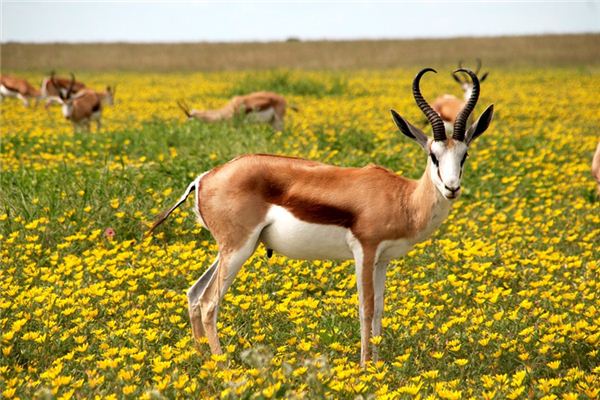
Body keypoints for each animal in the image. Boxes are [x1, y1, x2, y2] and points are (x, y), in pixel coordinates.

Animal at [150, 68, 492, 366]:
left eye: (464, 155)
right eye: (433, 155)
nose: (452, 188)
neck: (403, 198)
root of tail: (204, 178)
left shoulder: (382, 260)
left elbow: (380, 310)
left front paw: (378, 368)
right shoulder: (365, 252)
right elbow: (365, 308)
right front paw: (364, 369)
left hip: (230, 249)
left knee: (194, 294)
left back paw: (203, 361)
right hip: (238, 248)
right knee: (210, 302)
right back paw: (224, 367)